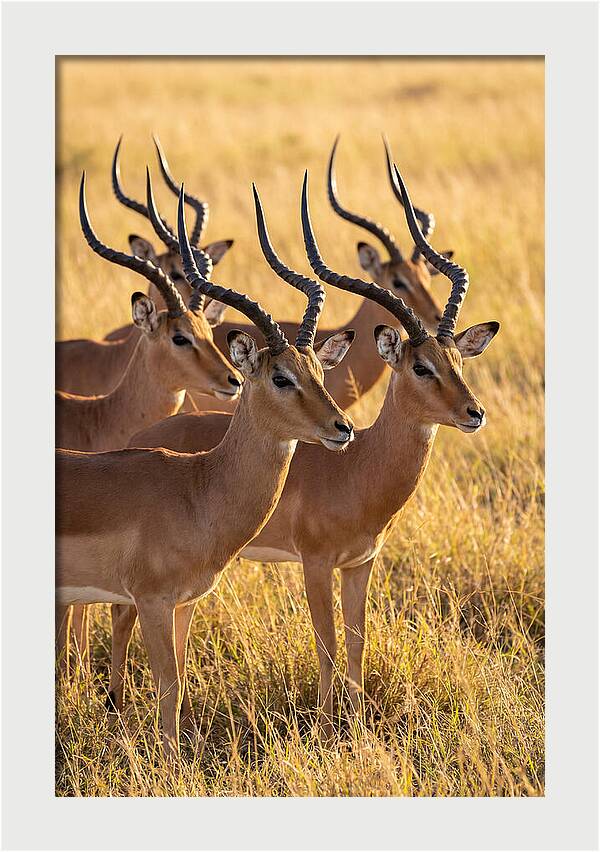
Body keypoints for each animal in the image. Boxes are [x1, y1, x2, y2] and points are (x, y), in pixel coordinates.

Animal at [55, 185, 355, 759]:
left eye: (318, 370)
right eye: (281, 377)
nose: (343, 427)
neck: (197, 491)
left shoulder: (184, 603)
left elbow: (179, 681)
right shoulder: (150, 600)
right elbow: (168, 686)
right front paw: (170, 765)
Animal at [118, 168, 499, 737]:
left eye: (457, 360)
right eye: (420, 366)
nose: (474, 413)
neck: (360, 468)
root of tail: (141, 438)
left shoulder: (361, 564)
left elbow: (358, 643)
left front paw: (358, 724)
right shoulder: (316, 563)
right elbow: (327, 644)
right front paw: (323, 726)